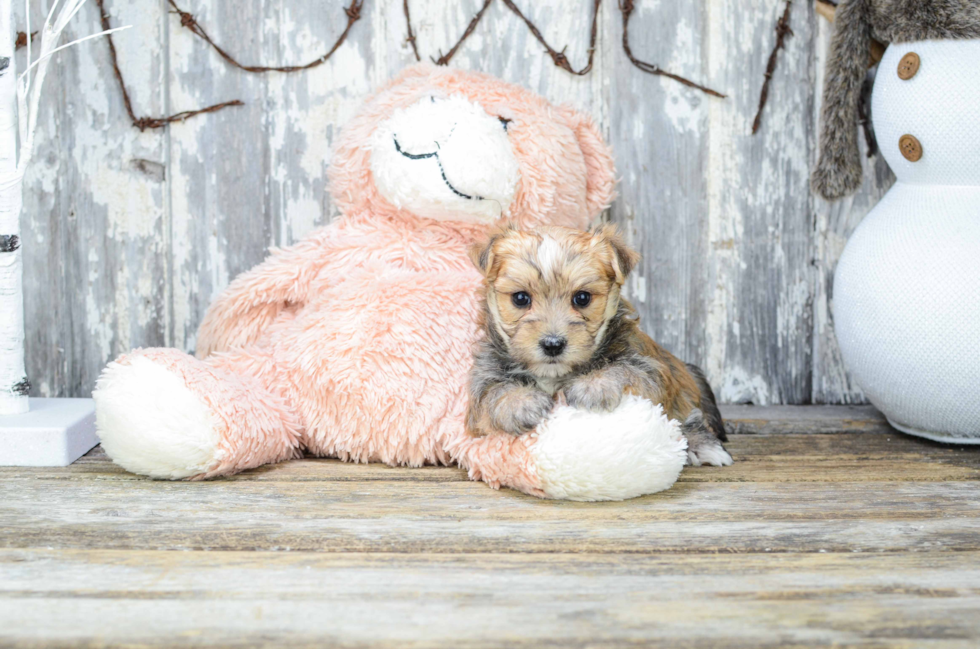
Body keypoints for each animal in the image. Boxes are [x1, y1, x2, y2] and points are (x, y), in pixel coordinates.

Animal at [468, 224, 736, 466]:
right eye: (521, 298)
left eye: (582, 298)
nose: (553, 344)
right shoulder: (480, 388)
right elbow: (493, 392)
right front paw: (519, 402)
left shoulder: (650, 368)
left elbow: (624, 370)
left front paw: (594, 385)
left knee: (688, 417)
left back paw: (702, 446)